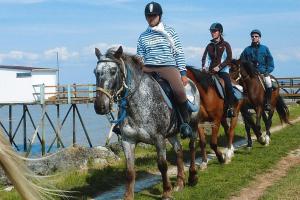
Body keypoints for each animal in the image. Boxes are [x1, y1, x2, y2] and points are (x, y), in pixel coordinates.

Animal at [94, 46, 199, 199]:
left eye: (113, 71)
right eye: (95, 72)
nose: (100, 106)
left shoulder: (159, 139)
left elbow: (162, 165)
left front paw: (166, 192)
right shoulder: (128, 141)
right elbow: (130, 171)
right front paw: (128, 196)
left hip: (194, 125)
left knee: (192, 147)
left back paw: (193, 177)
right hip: (172, 133)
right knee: (178, 150)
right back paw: (179, 183)